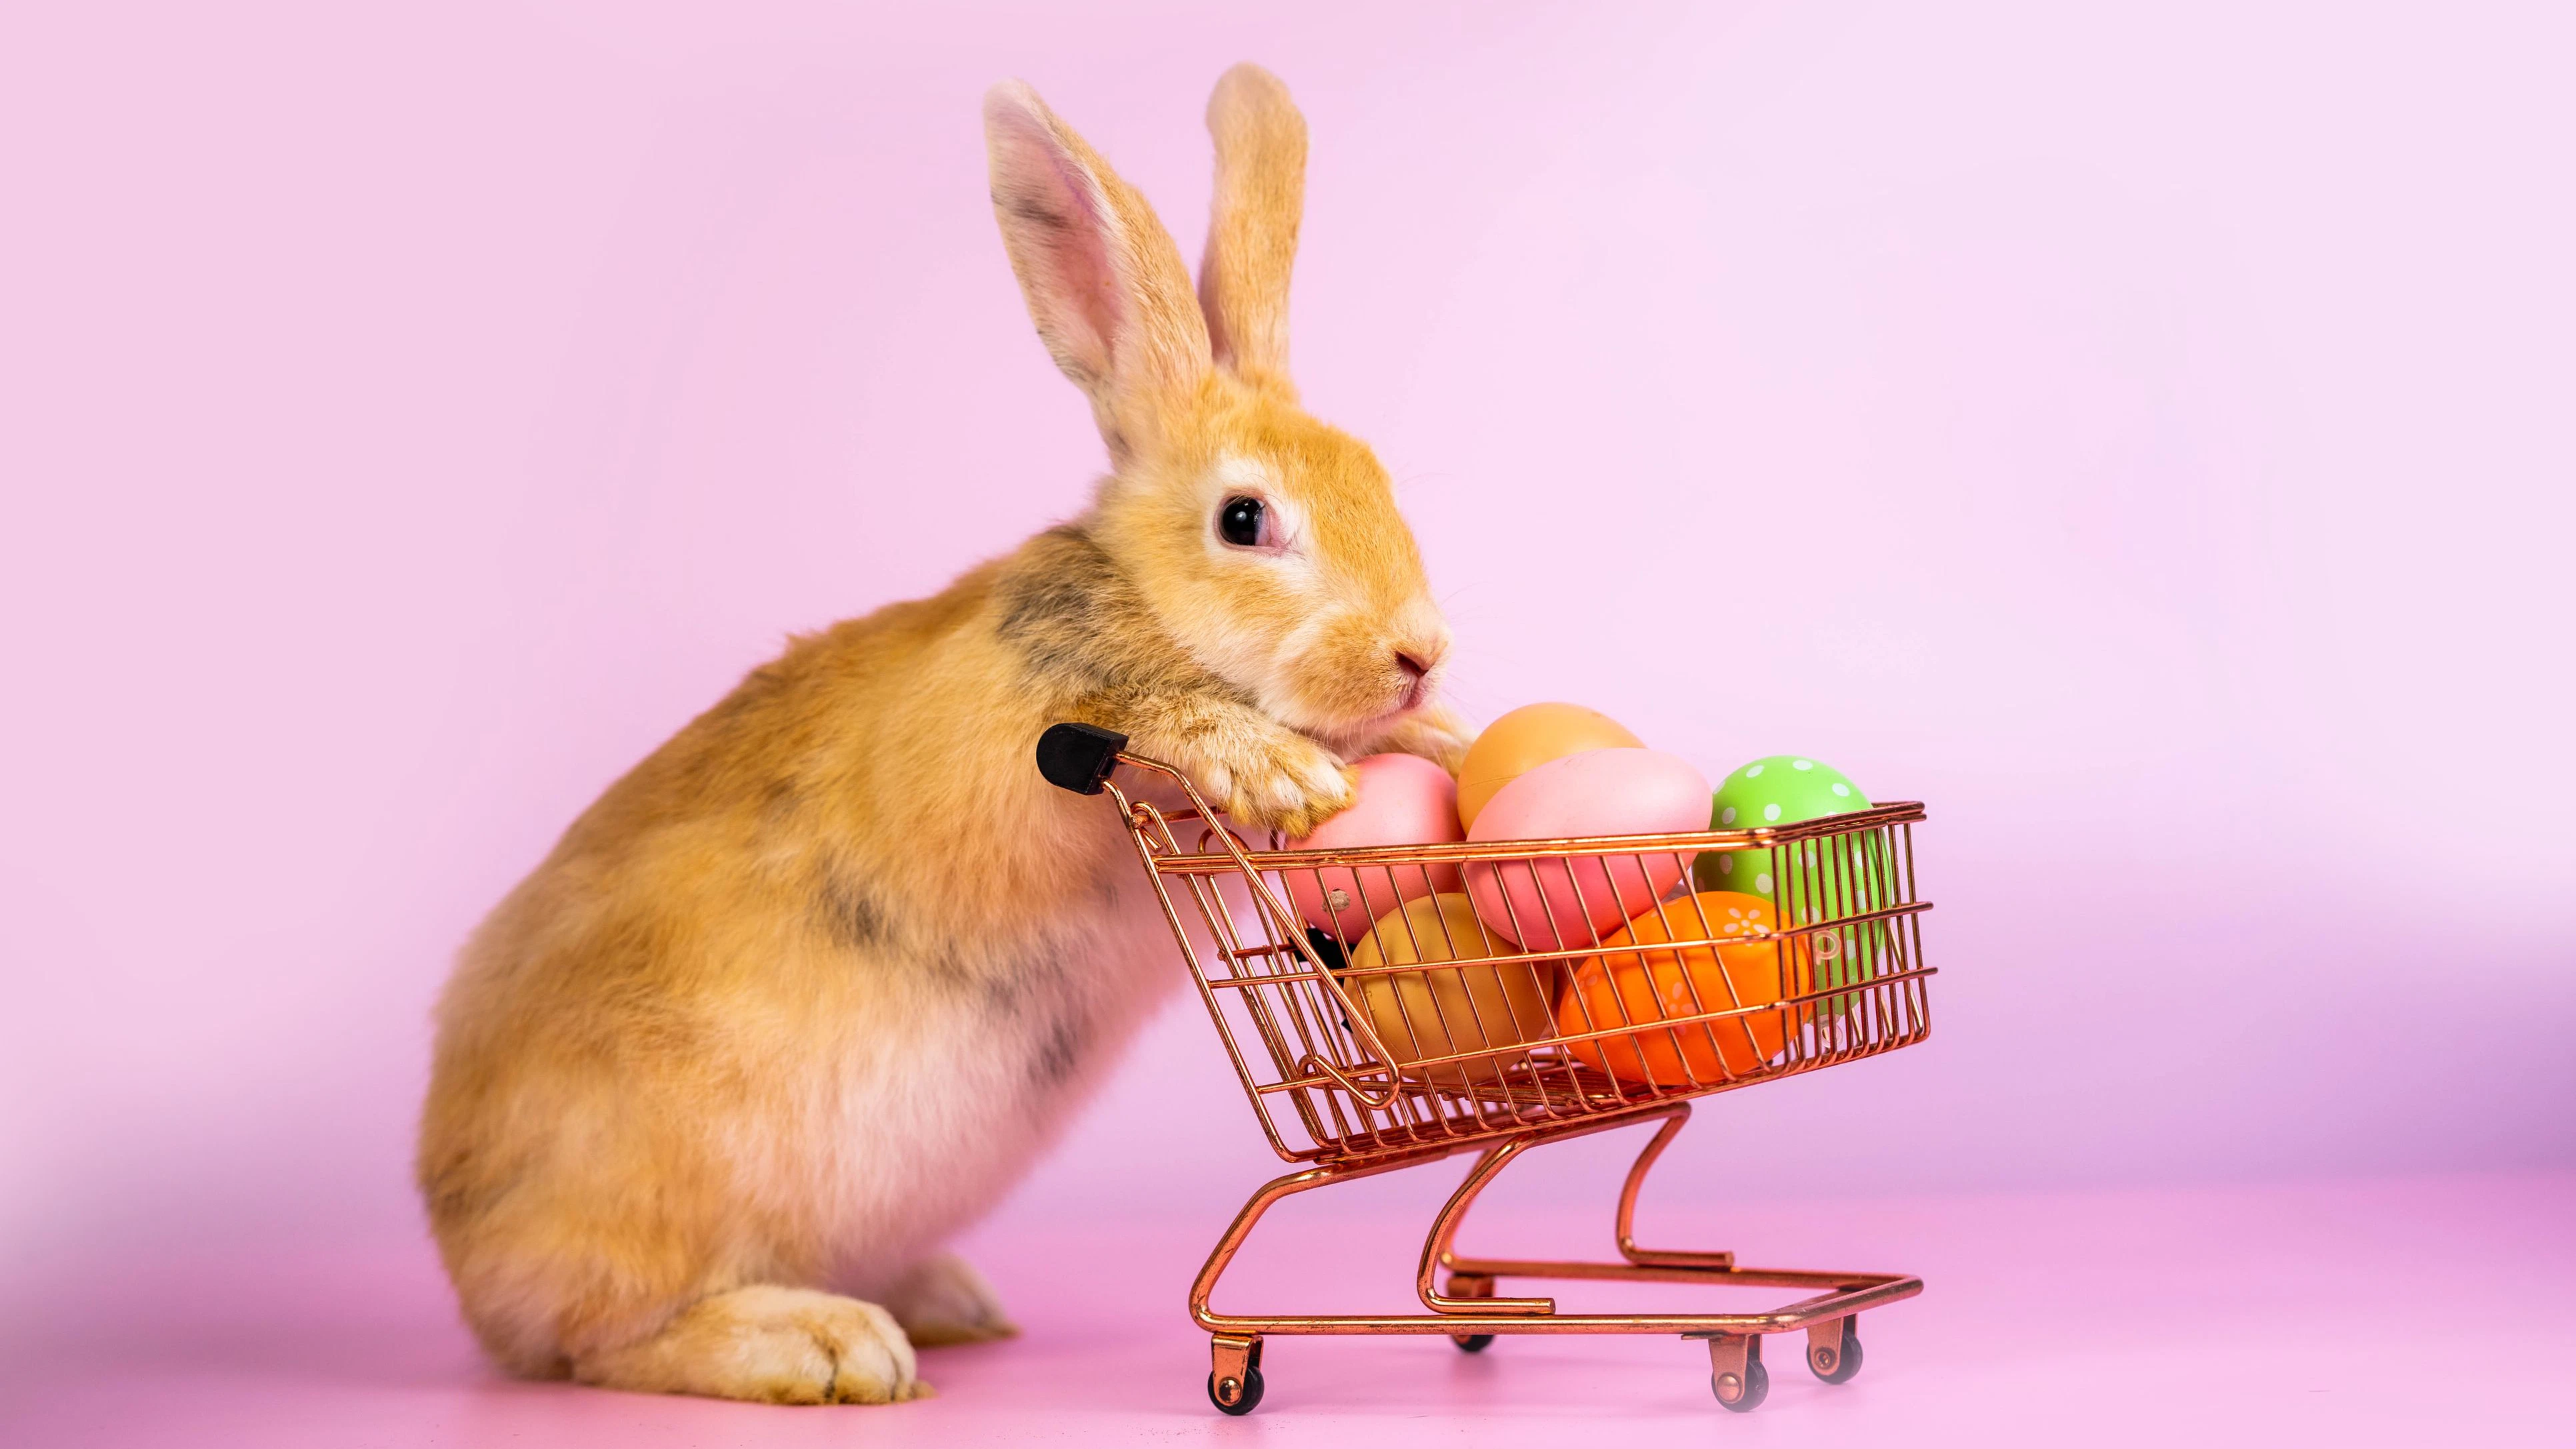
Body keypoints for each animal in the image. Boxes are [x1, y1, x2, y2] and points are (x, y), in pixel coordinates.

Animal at [416, 64, 1466, 1406]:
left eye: (1376, 478)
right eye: (1244, 520)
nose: (1418, 652)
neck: (1137, 600)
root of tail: (464, 1253)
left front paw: (1440, 739)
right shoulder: (1026, 749)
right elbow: (1162, 721)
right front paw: (1275, 766)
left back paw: (949, 1301)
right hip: (649, 1200)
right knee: (602, 1337)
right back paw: (827, 1346)